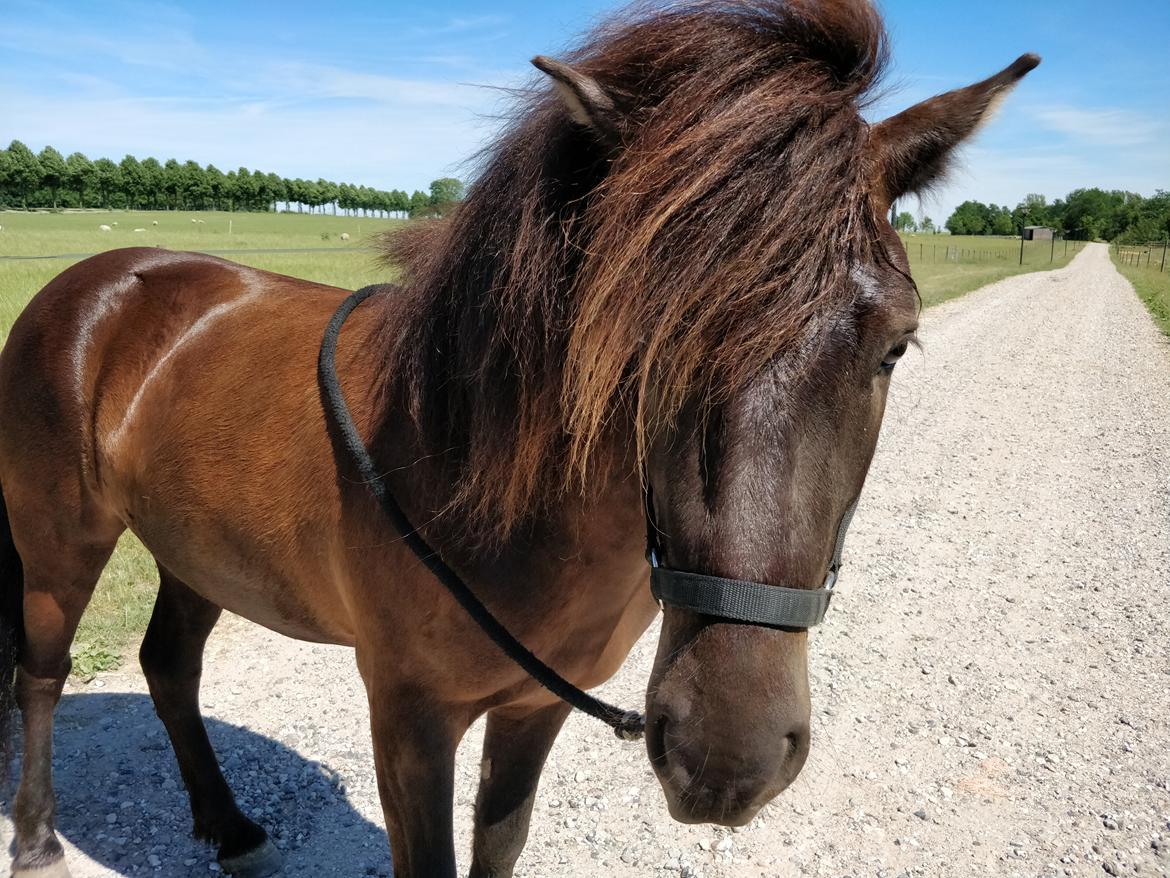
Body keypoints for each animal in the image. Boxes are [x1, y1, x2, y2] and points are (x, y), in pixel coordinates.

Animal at [2, 3, 1043, 875]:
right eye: (638, 339)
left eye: (895, 346)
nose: (727, 755)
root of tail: (100, 279)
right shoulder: (409, 720)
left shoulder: (536, 707)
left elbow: (499, 845)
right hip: (60, 546)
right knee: (43, 674)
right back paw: (40, 837)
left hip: (195, 552)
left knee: (170, 667)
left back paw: (227, 826)